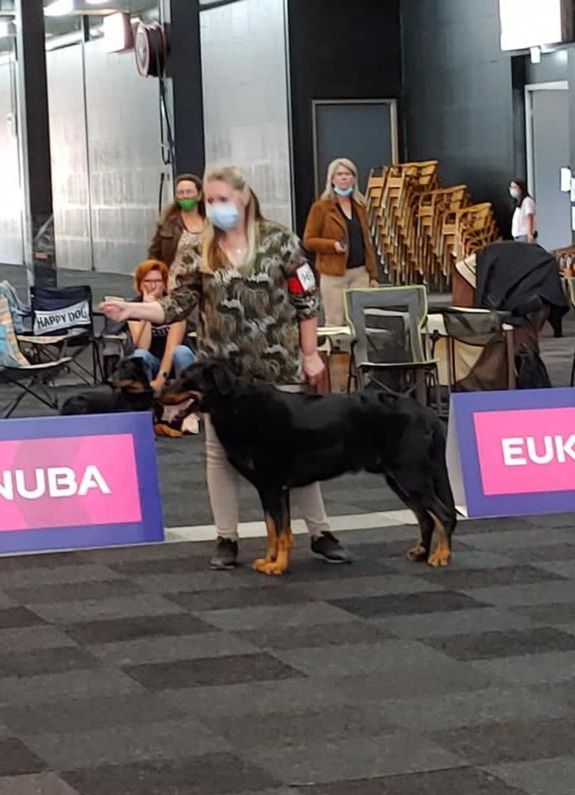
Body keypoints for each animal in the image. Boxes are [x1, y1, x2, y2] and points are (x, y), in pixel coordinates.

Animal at [163, 362, 460, 580]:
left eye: (186, 378)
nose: (158, 394)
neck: (236, 406)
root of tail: (427, 413)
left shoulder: (274, 486)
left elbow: (282, 532)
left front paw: (278, 566)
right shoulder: (268, 489)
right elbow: (273, 530)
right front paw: (269, 560)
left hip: (411, 475)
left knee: (443, 515)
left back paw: (441, 556)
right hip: (398, 479)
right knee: (425, 517)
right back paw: (421, 552)